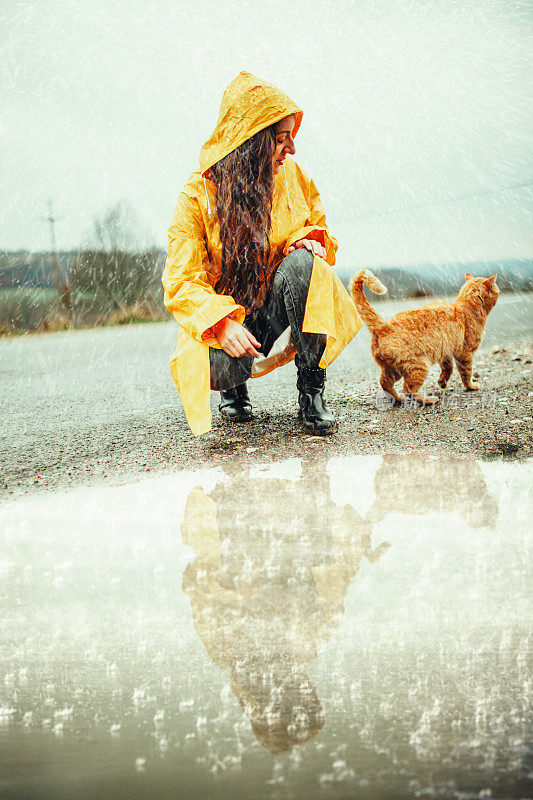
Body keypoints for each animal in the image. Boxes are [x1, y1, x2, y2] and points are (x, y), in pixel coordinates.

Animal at [350, 270, 498, 406]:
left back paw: (398, 399)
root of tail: (383, 326)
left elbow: (448, 369)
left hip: (393, 369)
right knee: (408, 389)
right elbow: (466, 373)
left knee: (384, 382)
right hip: (419, 366)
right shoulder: (465, 354)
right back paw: (429, 400)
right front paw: (471, 387)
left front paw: (442, 382)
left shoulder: (446, 353)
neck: (466, 308)